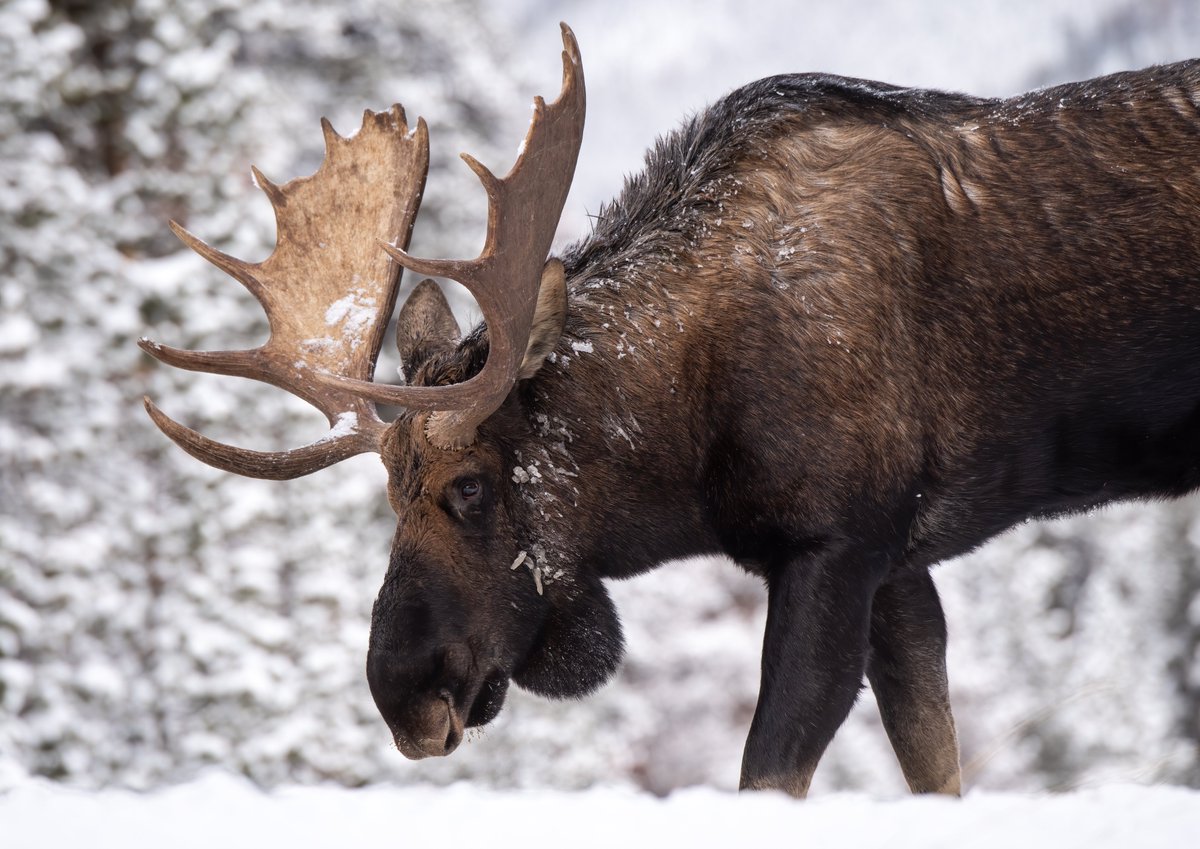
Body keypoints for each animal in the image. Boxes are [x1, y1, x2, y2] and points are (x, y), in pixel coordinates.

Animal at [138, 24, 1200, 796]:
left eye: (471, 485)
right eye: (390, 497)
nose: (404, 695)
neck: (688, 450)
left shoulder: (838, 542)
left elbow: (767, 773)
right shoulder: (901, 567)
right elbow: (936, 771)